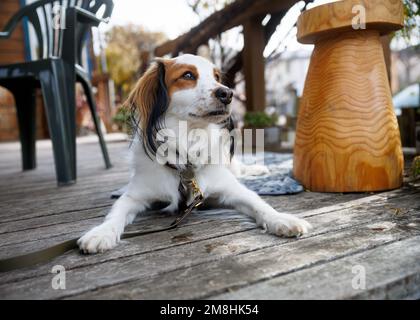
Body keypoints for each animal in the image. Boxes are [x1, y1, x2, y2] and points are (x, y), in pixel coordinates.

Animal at [77, 53, 310, 254]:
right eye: (188, 75)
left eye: (217, 77)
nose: (227, 93)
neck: (189, 140)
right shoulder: (135, 196)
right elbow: (115, 213)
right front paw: (101, 233)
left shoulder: (231, 189)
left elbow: (259, 204)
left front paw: (282, 220)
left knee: (239, 169)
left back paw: (259, 169)